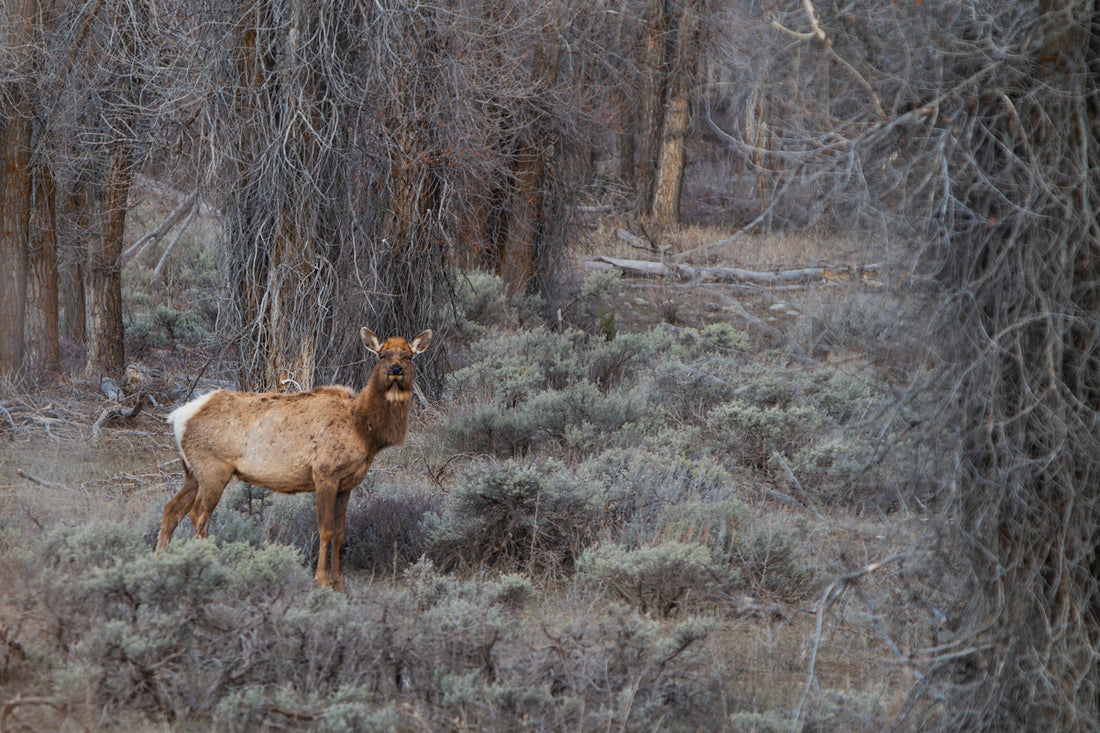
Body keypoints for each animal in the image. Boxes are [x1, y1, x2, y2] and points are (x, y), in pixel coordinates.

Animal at [156, 327, 432, 590]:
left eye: (409, 355)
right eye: (381, 354)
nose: (395, 369)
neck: (364, 431)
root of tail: (177, 418)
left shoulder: (347, 484)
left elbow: (341, 532)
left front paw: (340, 583)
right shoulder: (325, 473)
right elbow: (325, 529)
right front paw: (322, 581)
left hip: (192, 471)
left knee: (172, 508)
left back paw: (162, 561)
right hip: (213, 468)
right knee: (199, 514)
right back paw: (209, 565)